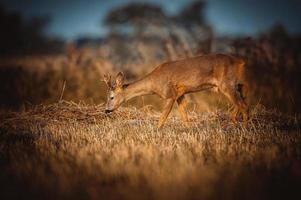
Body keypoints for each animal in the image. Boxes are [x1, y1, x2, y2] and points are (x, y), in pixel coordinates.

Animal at [103, 53, 248, 128]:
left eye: (111, 97)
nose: (106, 110)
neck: (153, 84)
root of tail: (240, 61)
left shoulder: (169, 95)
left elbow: (162, 119)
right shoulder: (180, 95)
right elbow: (185, 118)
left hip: (226, 84)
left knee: (243, 105)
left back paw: (243, 127)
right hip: (235, 84)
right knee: (243, 101)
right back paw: (235, 121)